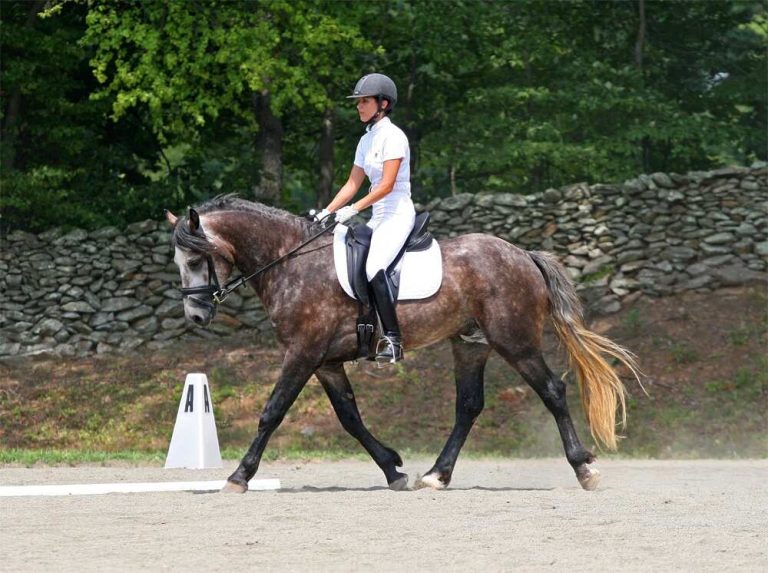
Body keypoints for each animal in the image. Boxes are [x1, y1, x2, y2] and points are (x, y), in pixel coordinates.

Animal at [165, 196, 640, 493]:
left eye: (195, 259)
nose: (196, 316)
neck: (291, 262)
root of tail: (523, 255)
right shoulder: (325, 362)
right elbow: (349, 418)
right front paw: (392, 467)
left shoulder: (302, 354)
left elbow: (271, 413)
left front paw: (239, 476)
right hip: (470, 344)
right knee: (469, 406)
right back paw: (436, 475)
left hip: (516, 342)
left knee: (553, 392)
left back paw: (584, 468)